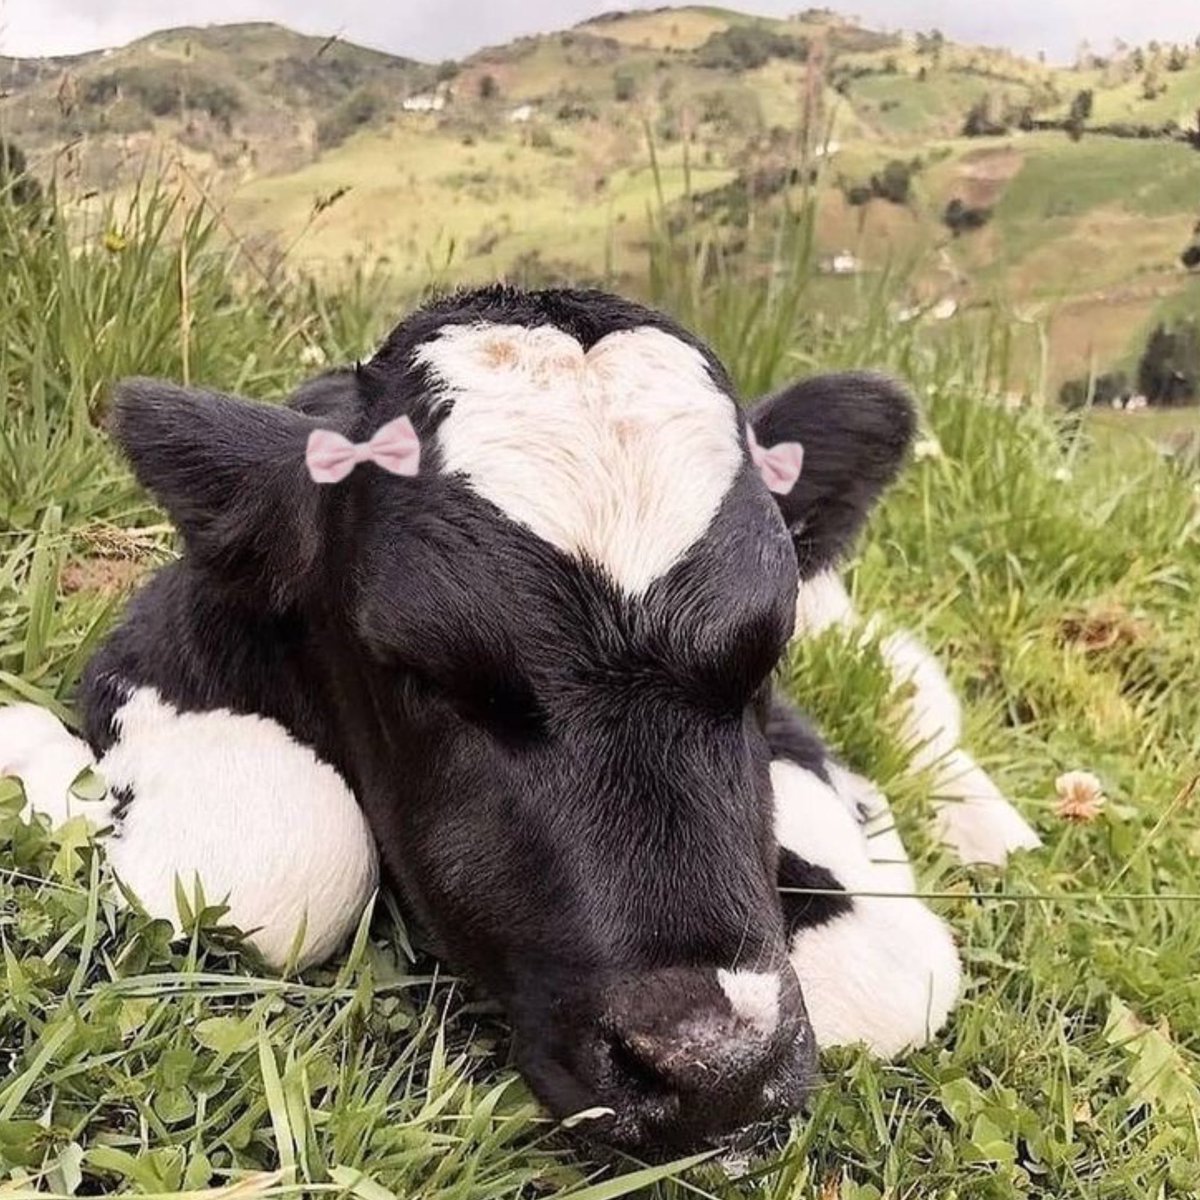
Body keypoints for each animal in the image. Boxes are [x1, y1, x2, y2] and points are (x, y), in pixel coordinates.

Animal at [0, 286, 1039, 1153]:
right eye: (421, 673)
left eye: (764, 657)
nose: (713, 1070)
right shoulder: (156, 651)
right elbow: (278, 861)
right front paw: (27, 751)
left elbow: (893, 968)